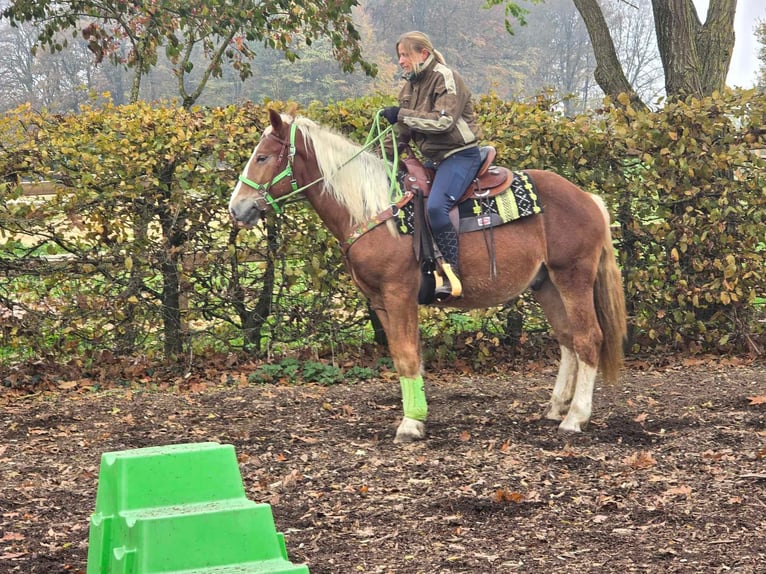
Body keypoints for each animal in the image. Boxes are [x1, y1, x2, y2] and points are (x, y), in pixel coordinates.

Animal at [231, 112, 628, 446]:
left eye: (263, 157)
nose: (238, 208)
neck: (376, 208)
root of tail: (589, 199)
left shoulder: (399, 293)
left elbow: (408, 355)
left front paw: (410, 423)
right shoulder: (380, 301)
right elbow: (401, 355)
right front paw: (417, 415)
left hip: (573, 278)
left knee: (588, 339)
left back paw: (576, 417)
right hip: (546, 284)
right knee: (568, 341)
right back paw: (557, 408)